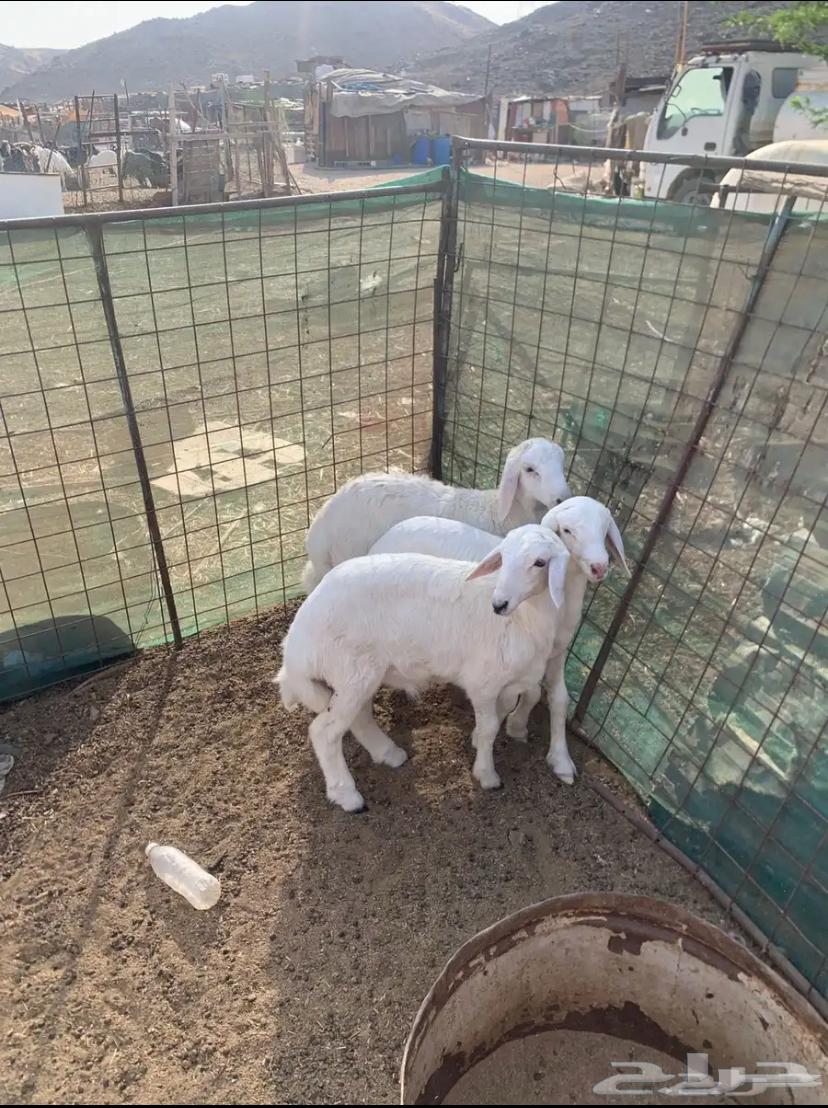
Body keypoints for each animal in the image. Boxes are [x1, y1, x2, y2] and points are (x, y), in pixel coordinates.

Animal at [277, 524, 570, 812]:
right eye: (504, 556)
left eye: (540, 562)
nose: (499, 604)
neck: (525, 618)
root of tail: (295, 645)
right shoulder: (482, 682)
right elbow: (489, 728)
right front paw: (487, 774)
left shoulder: (510, 682)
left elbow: (502, 714)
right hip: (351, 671)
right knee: (324, 732)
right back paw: (348, 796)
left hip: (360, 675)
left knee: (358, 717)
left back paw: (389, 753)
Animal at [369, 496, 628, 783]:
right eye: (568, 530)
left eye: (605, 529)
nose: (599, 567)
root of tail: (387, 535)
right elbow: (529, 692)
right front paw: (506, 728)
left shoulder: (557, 651)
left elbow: (558, 698)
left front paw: (559, 758)